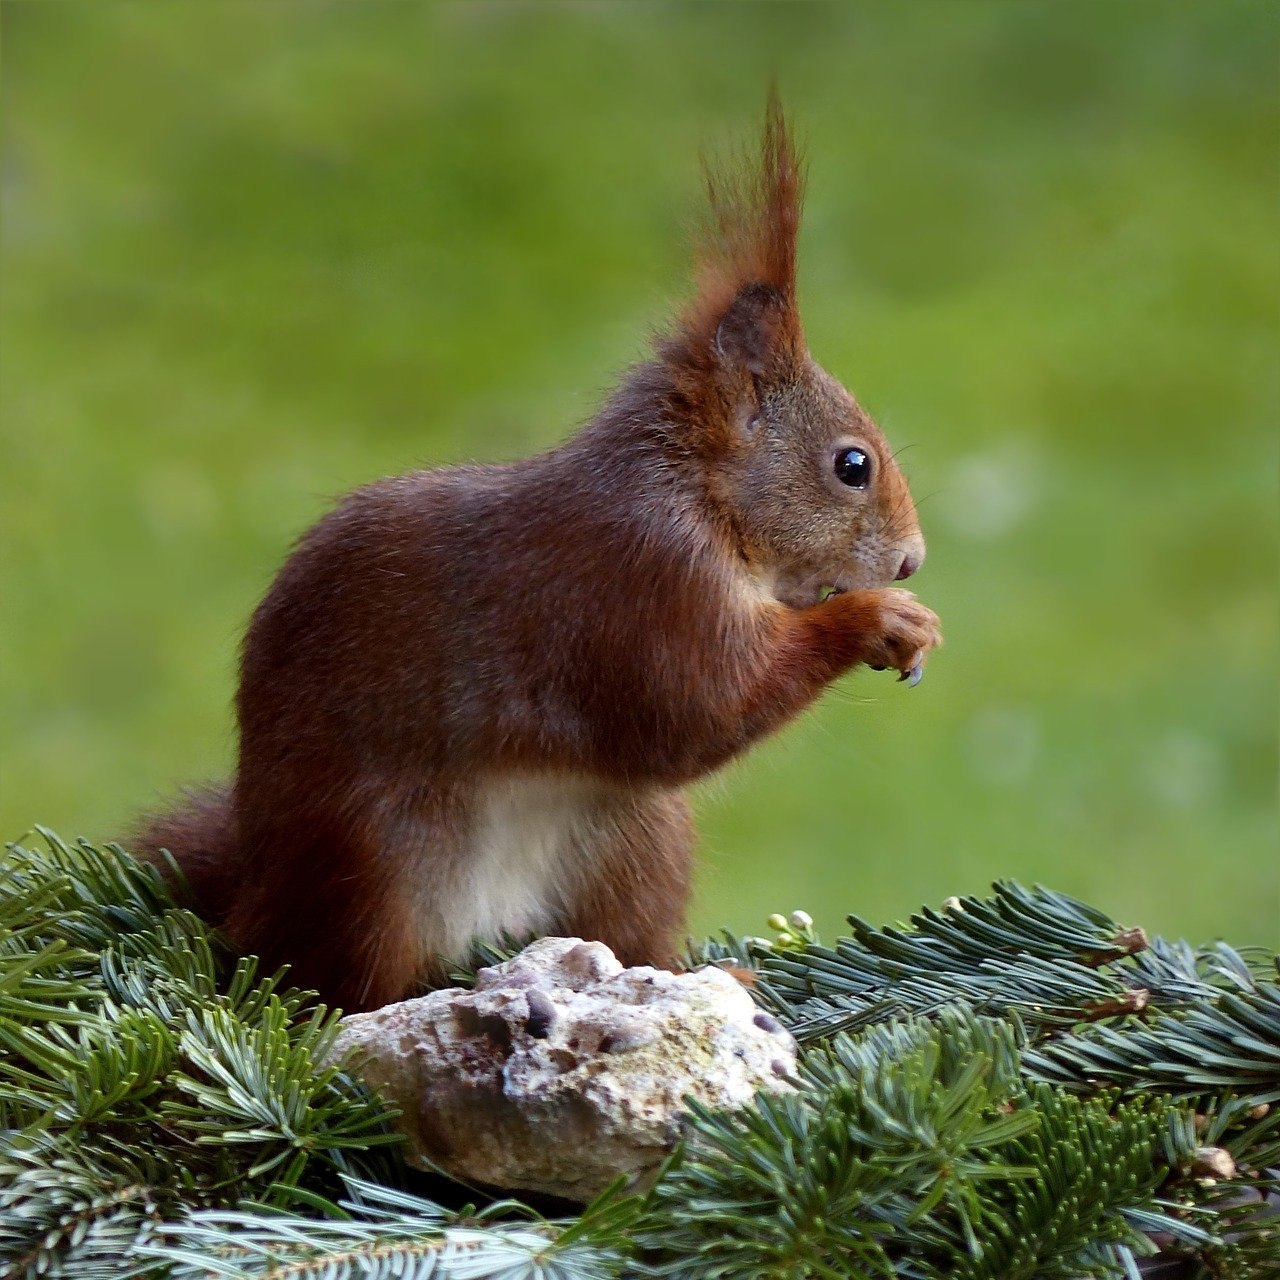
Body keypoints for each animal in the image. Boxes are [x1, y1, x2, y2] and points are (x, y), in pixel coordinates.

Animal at [137, 102, 942, 1008]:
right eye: (852, 466)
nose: (911, 561)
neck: (699, 497)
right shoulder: (640, 584)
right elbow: (698, 709)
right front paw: (879, 619)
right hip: (373, 861)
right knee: (330, 984)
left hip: (635, 841)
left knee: (625, 935)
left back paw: (701, 975)